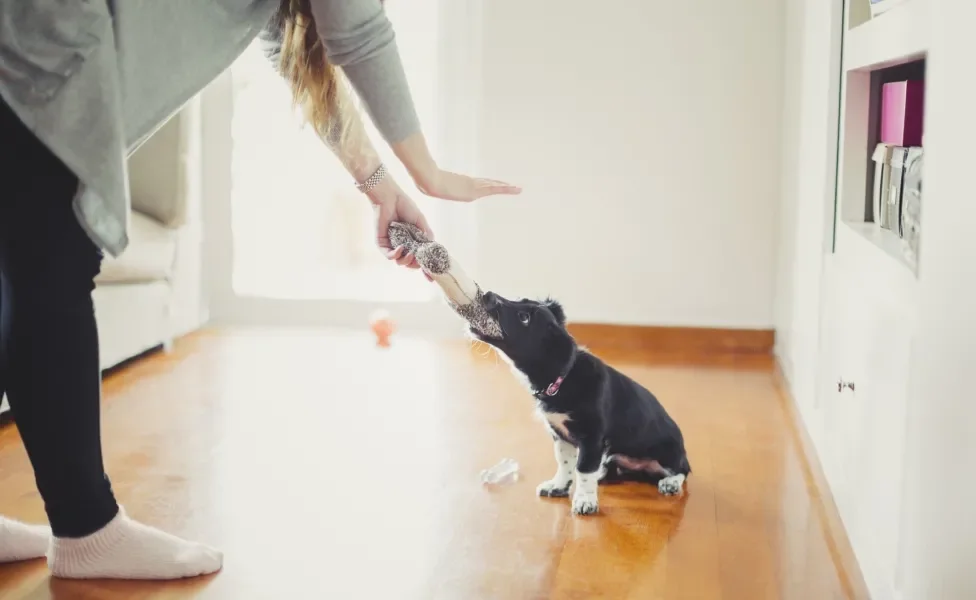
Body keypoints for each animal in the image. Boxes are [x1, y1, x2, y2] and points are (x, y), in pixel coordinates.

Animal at [470, 292, 688, 516]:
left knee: (682, 470)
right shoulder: (560, 434)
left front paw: (585, 500)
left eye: (524, 318)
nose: (486, 294)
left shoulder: (591, 438)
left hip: (668, 452)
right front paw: (559, 486)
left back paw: (670, 483)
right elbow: (565, 463)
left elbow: (583, 469)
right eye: (521, 300)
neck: (562, 381)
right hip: (613, 455)